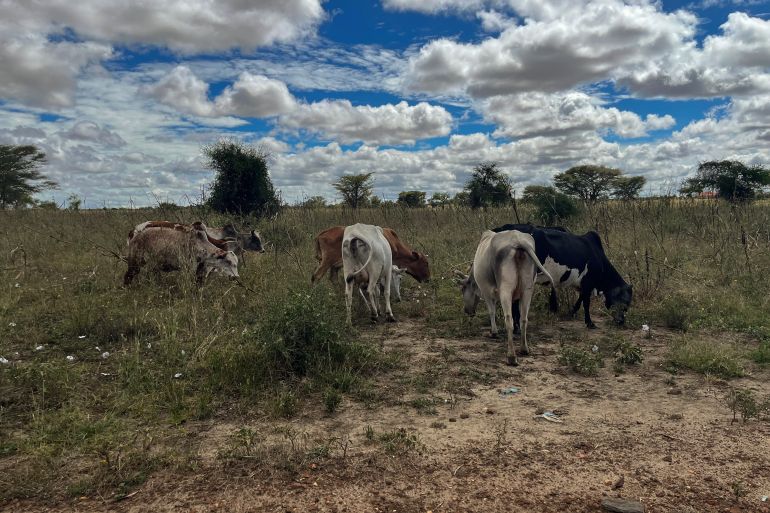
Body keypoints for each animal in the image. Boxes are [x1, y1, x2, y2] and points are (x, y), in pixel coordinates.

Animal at [452, 230, 548, 366]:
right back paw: (524, 349)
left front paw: (494, 332)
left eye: (463, 289)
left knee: (509, 320)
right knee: (524, 319)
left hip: (506, 290)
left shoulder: (486, 292)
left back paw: (511, 356)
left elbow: (492, 311)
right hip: (527, 290)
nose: (467, 311)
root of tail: (518, 241)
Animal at [492, 223, 632, 328]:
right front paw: (589, 323)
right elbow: (586, 302)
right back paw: (516, 327)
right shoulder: (588, 282)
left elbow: (580, 299)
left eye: (627, 305)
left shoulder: (582, 284)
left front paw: (571, 313)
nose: (621, 321)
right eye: (621, 300)